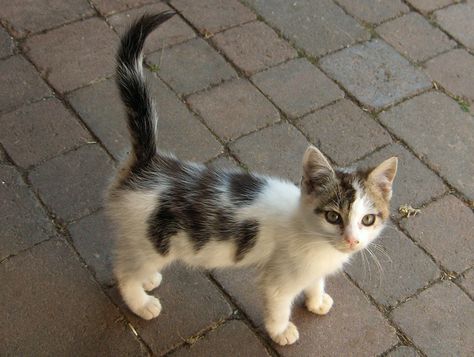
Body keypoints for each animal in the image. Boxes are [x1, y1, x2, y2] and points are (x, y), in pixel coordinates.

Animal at [105, 11, 398, 344]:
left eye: (368, 220)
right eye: (333, 216)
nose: (352, 240)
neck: (311, 235)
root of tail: (147, 164)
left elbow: (315, 281)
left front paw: (316, 299)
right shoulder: (279, 278)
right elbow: (279, 304)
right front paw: (281, 331)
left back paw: (148, 281)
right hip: (154, 242)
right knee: (124, 270)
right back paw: (141, 302)